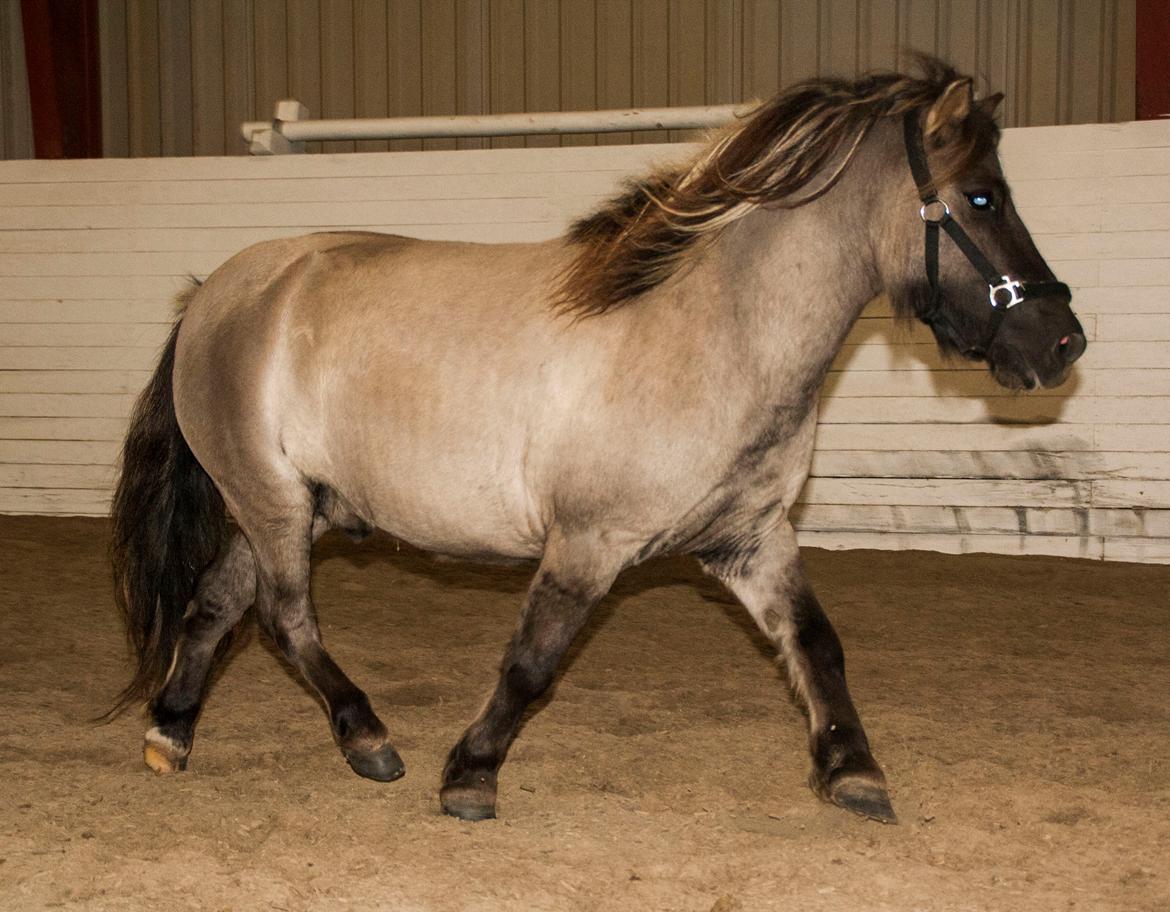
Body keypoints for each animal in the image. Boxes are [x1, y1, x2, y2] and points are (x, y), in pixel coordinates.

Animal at [109, 60, 1085, 825]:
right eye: (982, 196)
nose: (1061, 343)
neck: (711, 329)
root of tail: (219, 291)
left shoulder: (749, 536)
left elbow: (816, 644)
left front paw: (853, 772)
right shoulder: (590, 541)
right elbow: (533, 663)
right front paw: (469, 776)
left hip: (289, 504)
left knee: (215, 605)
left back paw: (171, 732)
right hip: (272, 502)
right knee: (283, 617)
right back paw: (368, 739)